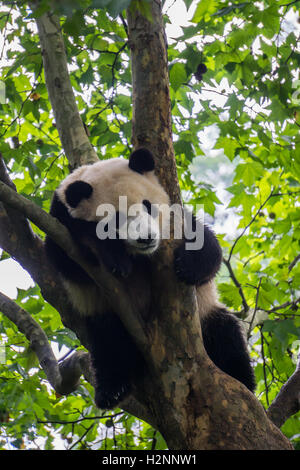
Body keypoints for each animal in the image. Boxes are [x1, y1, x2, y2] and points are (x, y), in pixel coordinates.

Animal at [45, 149, 255, 410]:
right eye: (115, 219)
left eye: (148, 206)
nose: (146, 238)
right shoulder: (59, 222)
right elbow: (68, 257)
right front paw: (115, 257)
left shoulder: (177, 220)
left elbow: (205, 244)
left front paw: (188, 266)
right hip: (109, 317)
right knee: (110, 345)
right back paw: (111, 391)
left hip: (207, 317)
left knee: (225, 336)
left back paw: (242, 382)